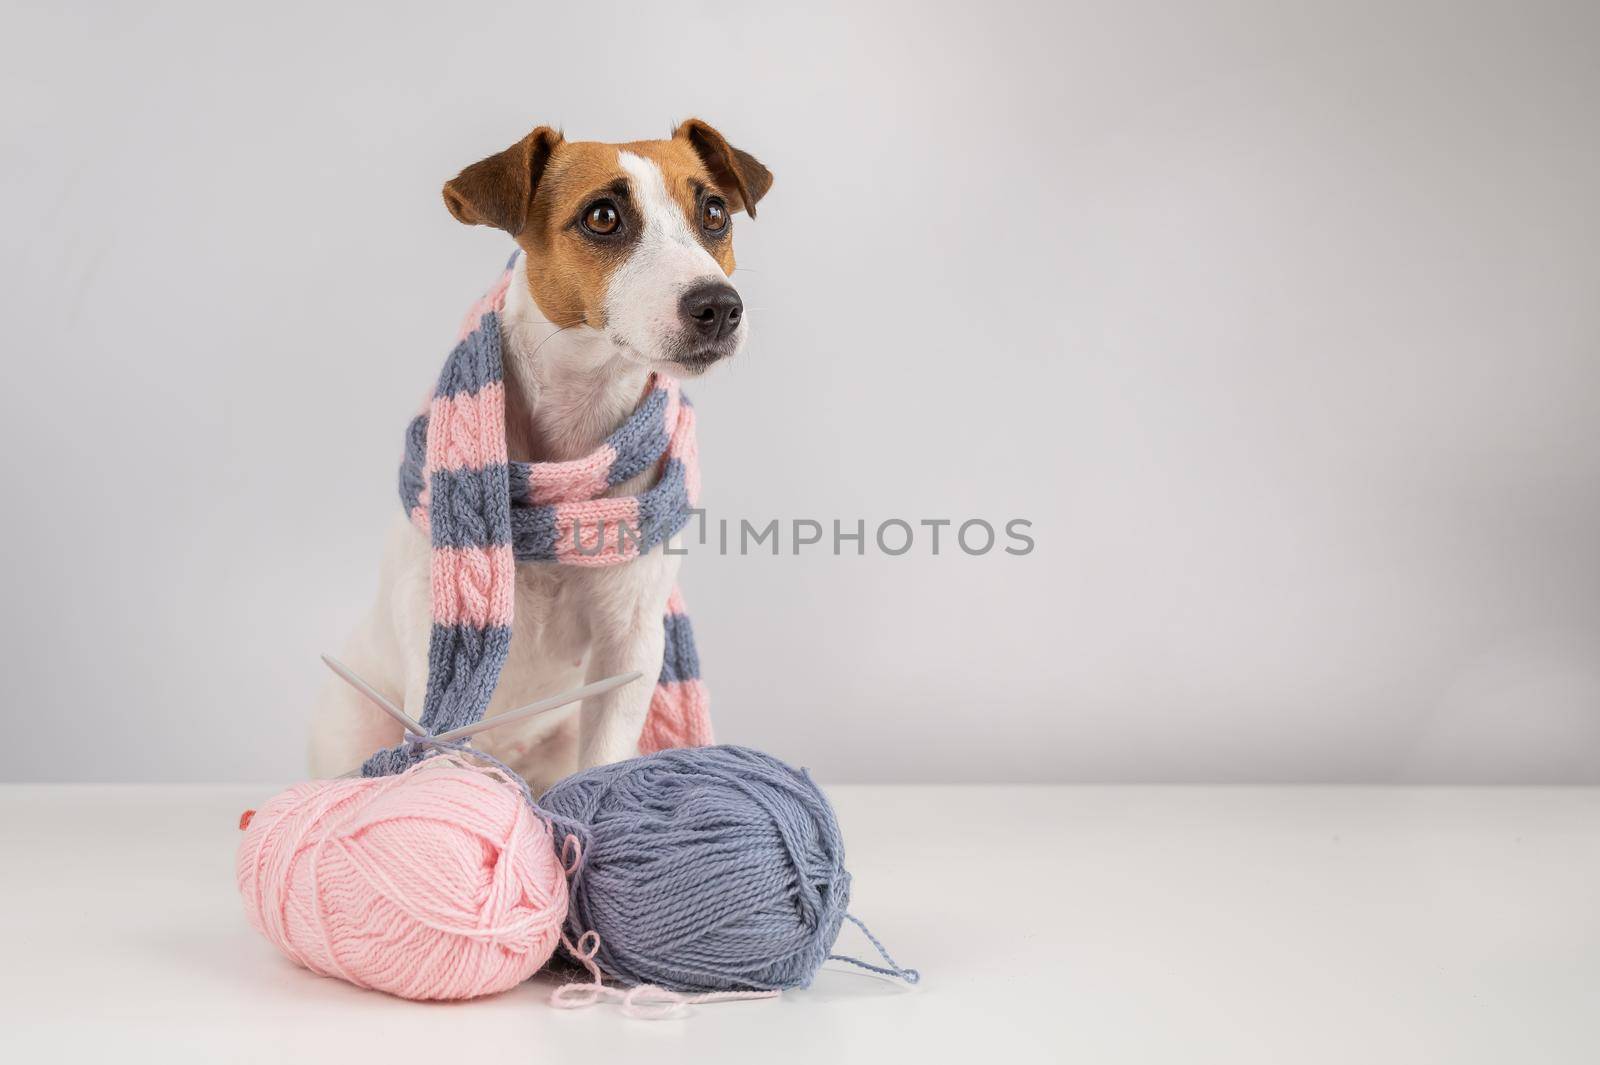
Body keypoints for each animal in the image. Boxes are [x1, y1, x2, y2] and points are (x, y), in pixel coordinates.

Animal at [308, 122, 771, 786]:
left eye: (714, 213)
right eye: (602, 216)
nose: (719, 306)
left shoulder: (630, 641)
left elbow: (605, 753)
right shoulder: (431, 629)